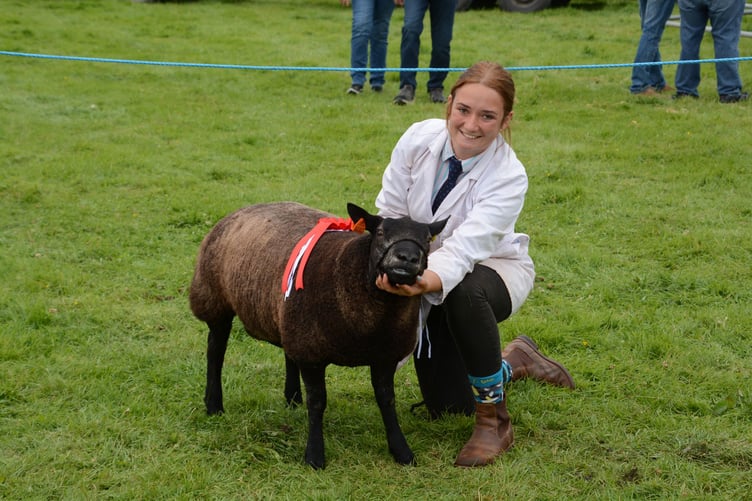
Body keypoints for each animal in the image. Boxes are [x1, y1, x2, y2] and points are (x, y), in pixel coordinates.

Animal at [189, 201, 447, 469]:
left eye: (427, 239)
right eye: (380, 232)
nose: (407, 258)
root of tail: (245, 208)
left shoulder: (385, 355)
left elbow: (387, 400)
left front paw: (401, 451)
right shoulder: (312, 354)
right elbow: (318, 402)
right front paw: (314, 456)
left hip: (288, 317)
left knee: (287, 353)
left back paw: (292, 398)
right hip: (214, 298)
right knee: (215, 352)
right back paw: (214, 404)